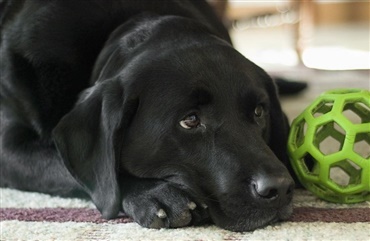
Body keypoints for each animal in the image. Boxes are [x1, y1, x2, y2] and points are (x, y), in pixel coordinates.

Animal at [0, 0, 294, 232]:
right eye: (190, 120)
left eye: (259, 111)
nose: (279, 188)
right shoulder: (9, 149)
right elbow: (76, 170)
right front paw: (155, 195)